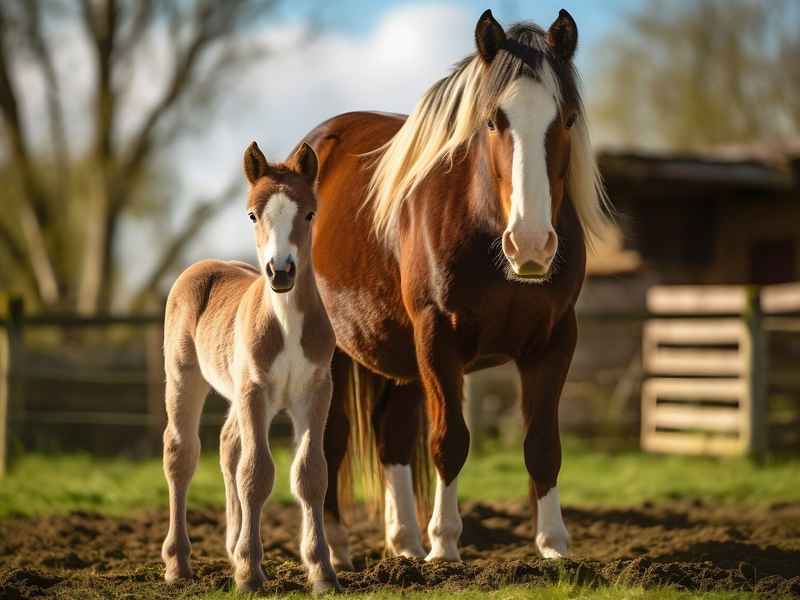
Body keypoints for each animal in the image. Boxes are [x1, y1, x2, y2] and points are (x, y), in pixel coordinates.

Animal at [160, 141, 340, 594]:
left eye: (309, 213)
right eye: (252, 214)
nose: (282, 271)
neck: (286, 322)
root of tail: (203, 265)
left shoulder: (315, 392)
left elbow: (311, 473)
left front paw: (322, 572)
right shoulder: (254, 390)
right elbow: (256, 474)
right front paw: (250, 575)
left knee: (228, 444)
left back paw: (231, 546)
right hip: (184, 377)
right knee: (181, 453)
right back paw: (178, 563)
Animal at [301, 9, 611, 566]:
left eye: (567, 119)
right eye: (492, 120)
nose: (530, 244)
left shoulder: (554, 342)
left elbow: (542, 446)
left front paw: (554, 546)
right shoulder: (437, 337)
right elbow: (450, 441)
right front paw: (445, 545)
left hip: (399, 355)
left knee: (392, 438)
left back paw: (403, 544)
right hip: (335, 351)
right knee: (331, 442)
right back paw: (335, 550)